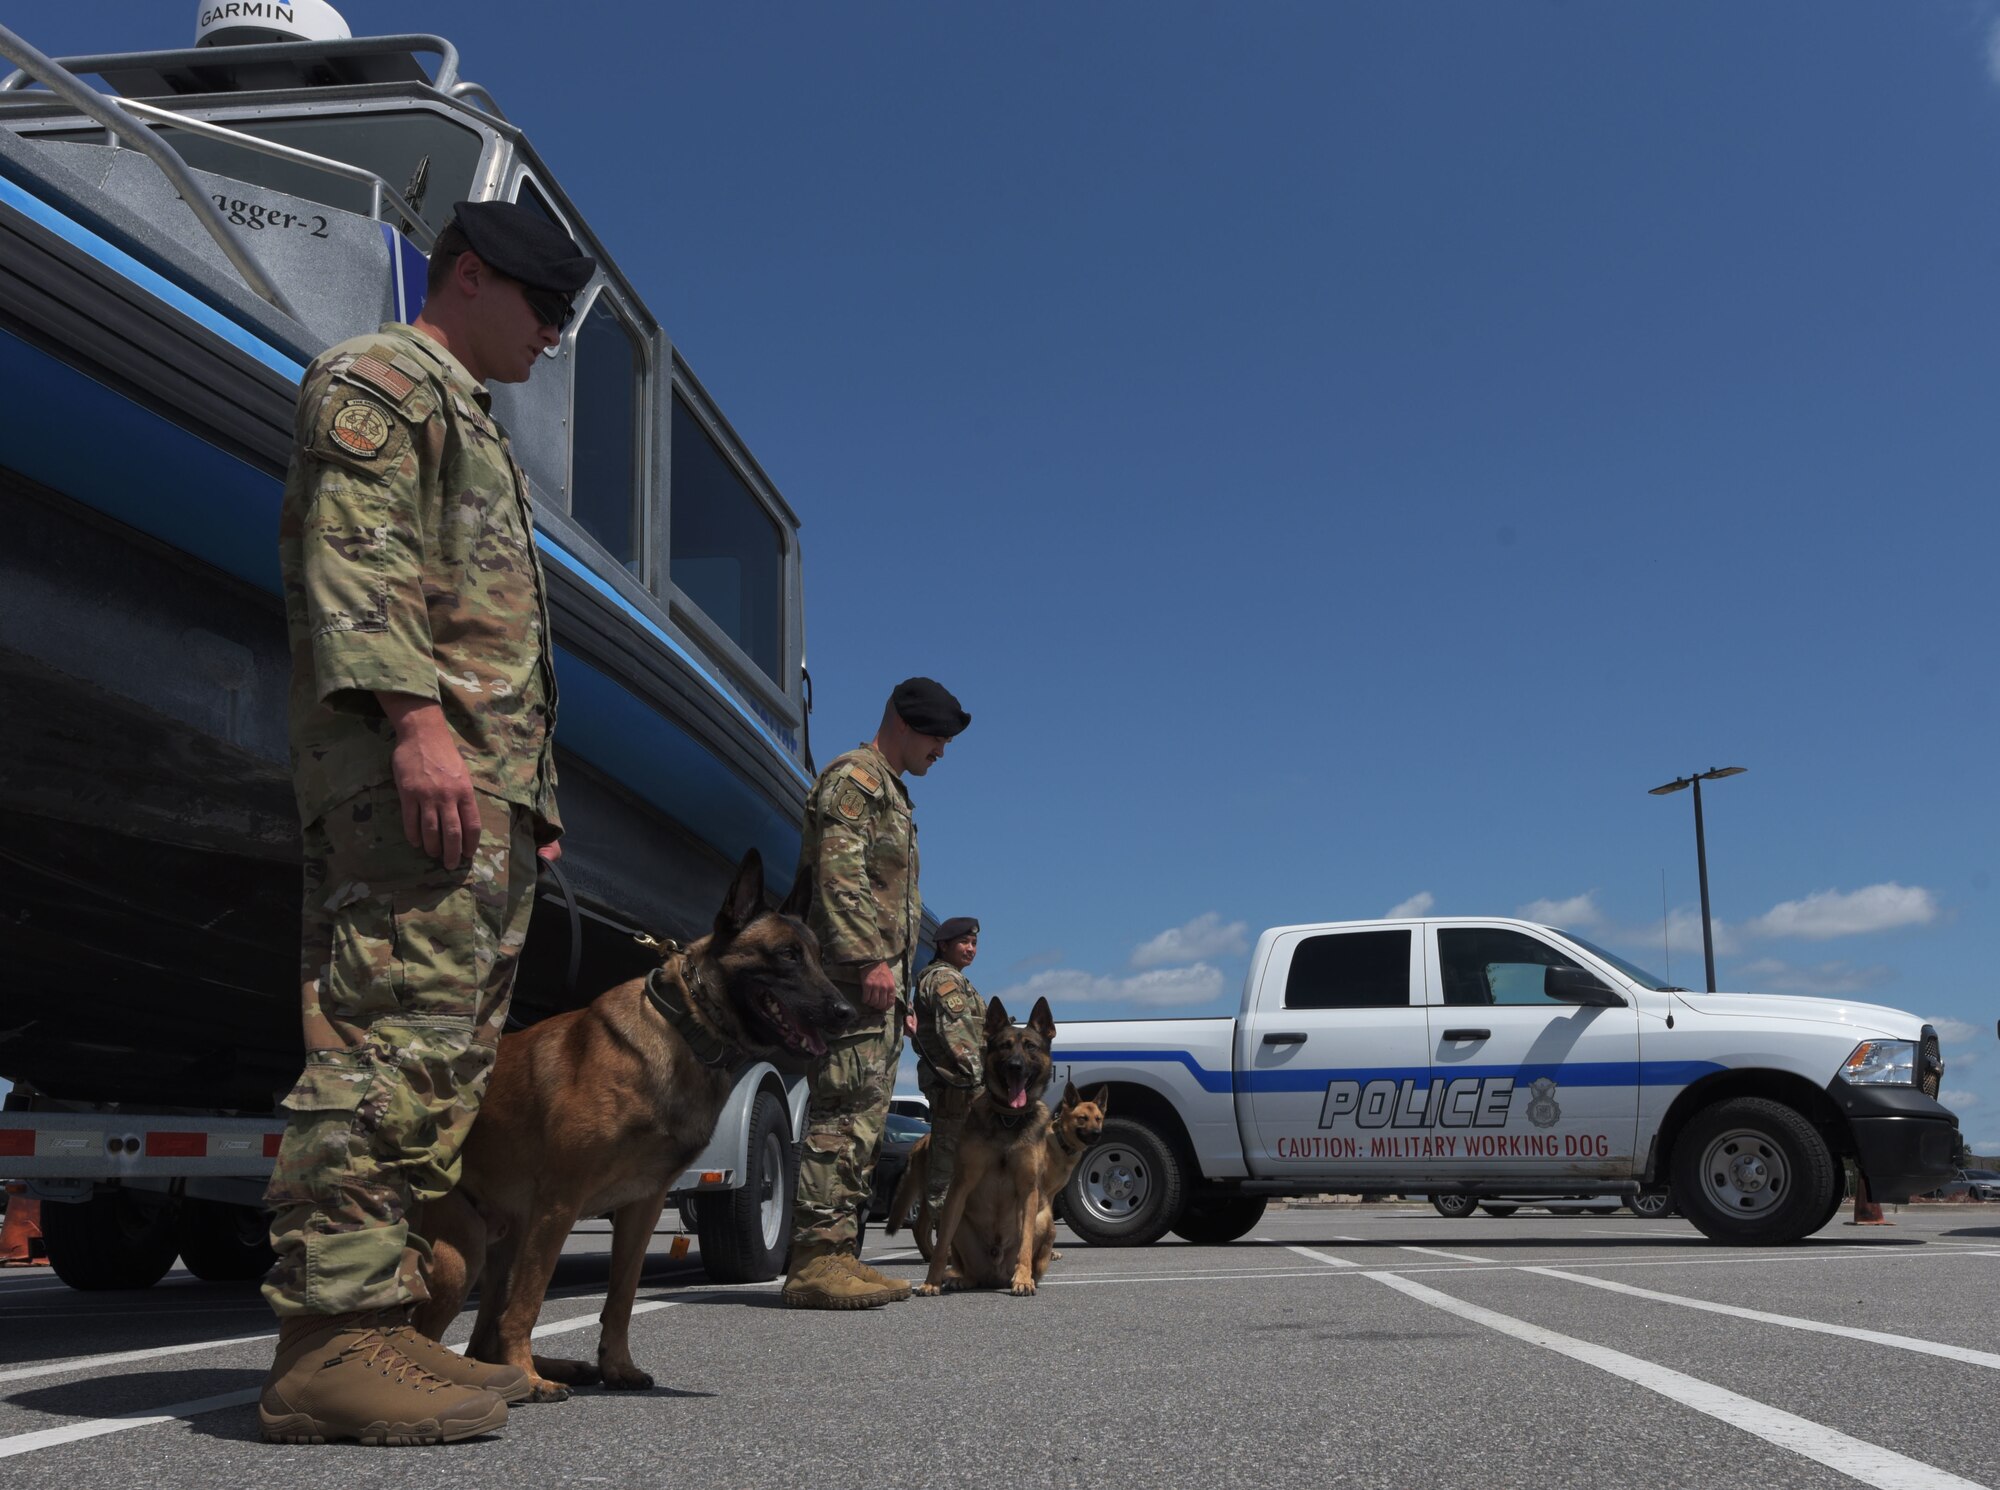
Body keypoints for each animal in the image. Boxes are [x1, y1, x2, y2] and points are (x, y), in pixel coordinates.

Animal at [414, 848, 852, 1392]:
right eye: (787, 955)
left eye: (818, 957)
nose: (847, 1012)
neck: (686, 1028)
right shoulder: (559, 1203)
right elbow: (530, 1299)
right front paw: (530, 1374)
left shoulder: (642, 1206)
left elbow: (620, 1296)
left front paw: (615, 1366)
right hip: (464, 1252)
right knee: (437, 1335)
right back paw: (507, 1376)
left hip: (507, 1240)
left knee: (481, 1340)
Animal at [916, 992, 1056, 1296]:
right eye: (1004, 1046)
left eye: (1030, 1047)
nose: (1015, 1066)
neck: (1008, 1120)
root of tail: (994, 1274)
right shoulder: (961, 1185)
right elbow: (941, 1246)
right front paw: (932, 1281)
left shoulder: (1028, 1189)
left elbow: (1025, 1242)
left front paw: (1023, 1279)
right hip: (957, 1217)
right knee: (963, 1264)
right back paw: (960, 1278)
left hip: (1046, 1218)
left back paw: (1025, 1276)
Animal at [1032, 1080, 1112, 1280]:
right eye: (1082, 1118)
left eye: (1098, 1118)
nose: (1097, 1133)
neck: (1061, 1144)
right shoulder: (1041, 1192)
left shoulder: (1050, 1195)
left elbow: (1049, 1225)